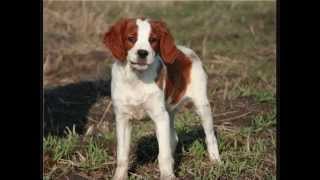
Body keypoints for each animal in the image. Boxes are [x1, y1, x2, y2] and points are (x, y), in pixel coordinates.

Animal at [104, 17, 221, 180]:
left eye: (152, 40)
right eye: (131, 38)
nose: (142, 53)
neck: (136, 79)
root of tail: (184, 51)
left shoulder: (160, 117)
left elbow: (163, 154)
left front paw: (167, 175)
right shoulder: (123, 119)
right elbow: (122, 155)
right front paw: (119, 177)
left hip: (202, 105)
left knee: (210, 136)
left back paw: (216, 161)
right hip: (170, 112)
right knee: (174, 138)